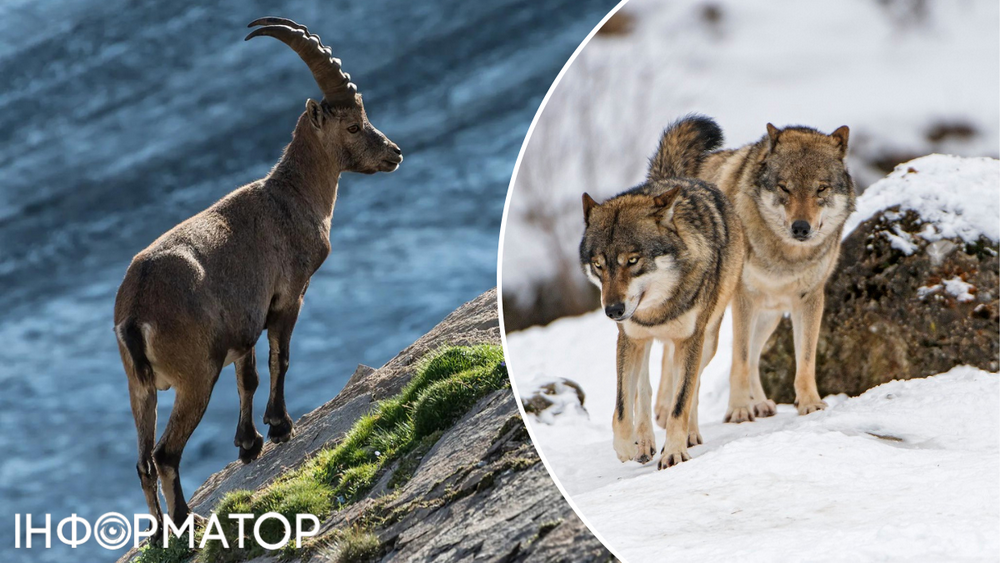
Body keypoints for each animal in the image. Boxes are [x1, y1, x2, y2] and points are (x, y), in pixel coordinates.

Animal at [580, 114, 744, 468]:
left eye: (632, 260)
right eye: (599, 265)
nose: (612, 310)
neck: (657, 310)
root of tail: (669, 179)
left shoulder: (691, 340)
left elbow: (682, 401)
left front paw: (675, 451)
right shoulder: (629, 338)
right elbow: (622, 408)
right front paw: (627, 447)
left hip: (708, 340)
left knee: (689, 387)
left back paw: (689, 434)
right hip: (640, 344)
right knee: (645, 390)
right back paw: (644, 441)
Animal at [700, 123, 856, 424]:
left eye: (821, 189)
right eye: (785, 187)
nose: (801, 227)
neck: (787, 257)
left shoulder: (809, 299)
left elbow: (805, 359)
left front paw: (810, 403)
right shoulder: (745, 298)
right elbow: (739, 360)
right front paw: (738, 410)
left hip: (769, 318)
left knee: (754, 358)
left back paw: (760, 404)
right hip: (710, 329)